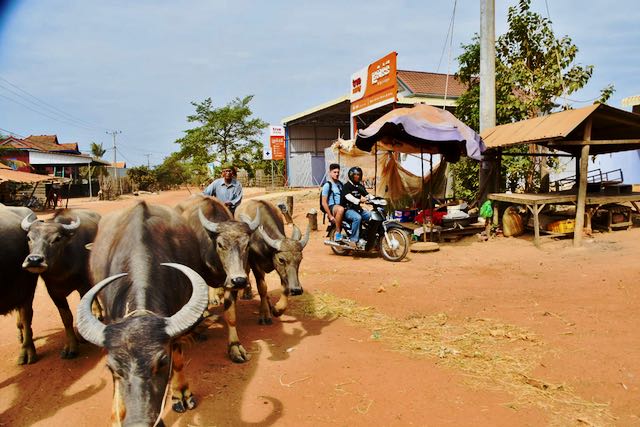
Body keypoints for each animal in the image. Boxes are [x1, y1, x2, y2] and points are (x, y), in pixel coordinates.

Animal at [21, 209, 101, 360]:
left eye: (57, 238)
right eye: (29, 238)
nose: (34, 260)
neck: (62, 269)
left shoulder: (83, 285)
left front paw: (82, 336)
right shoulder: (54, 292)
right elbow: (66, 318)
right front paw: (71, 347)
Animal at [77, 201, 208, 427]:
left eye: (162, 361)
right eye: (111, 368)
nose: (139, 422)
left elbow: (179, 359)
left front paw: (181, 393)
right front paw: (116, 416)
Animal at [178, 196, 260, 362]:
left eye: (247, 244)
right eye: (221, 244)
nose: (239, 280)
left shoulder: (229, 284)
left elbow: (231, 316)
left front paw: (235, 347)